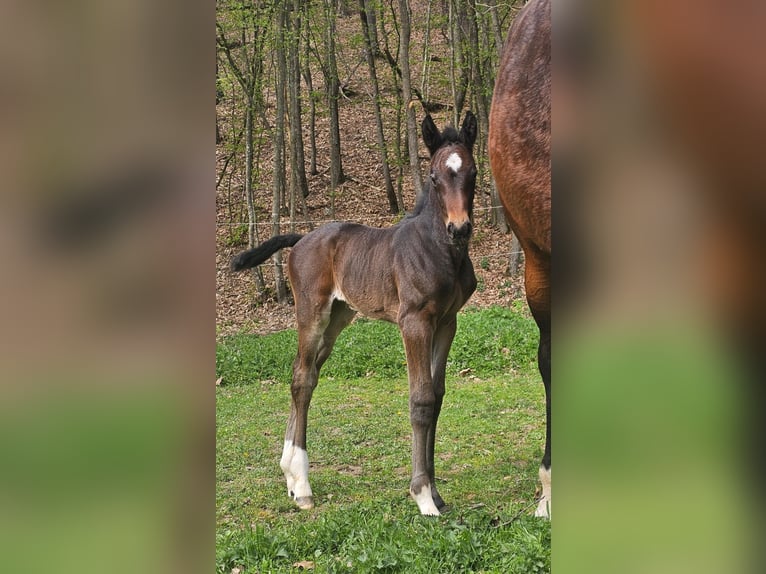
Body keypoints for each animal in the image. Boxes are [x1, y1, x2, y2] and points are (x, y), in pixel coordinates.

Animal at [231, 112, 476, 516]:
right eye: (434, 177)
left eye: (473, 172)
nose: (460, 228)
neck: (439, 249)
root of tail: (300, 238)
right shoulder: (414, 322)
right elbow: (421, 399)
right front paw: (424, 496)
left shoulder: (446, 322)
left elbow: (437, 396)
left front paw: (437, 493)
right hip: (312, 313)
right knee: (301, 377)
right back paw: (303, 486)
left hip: (339, 318)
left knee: (307, 376)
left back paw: (291, 478)